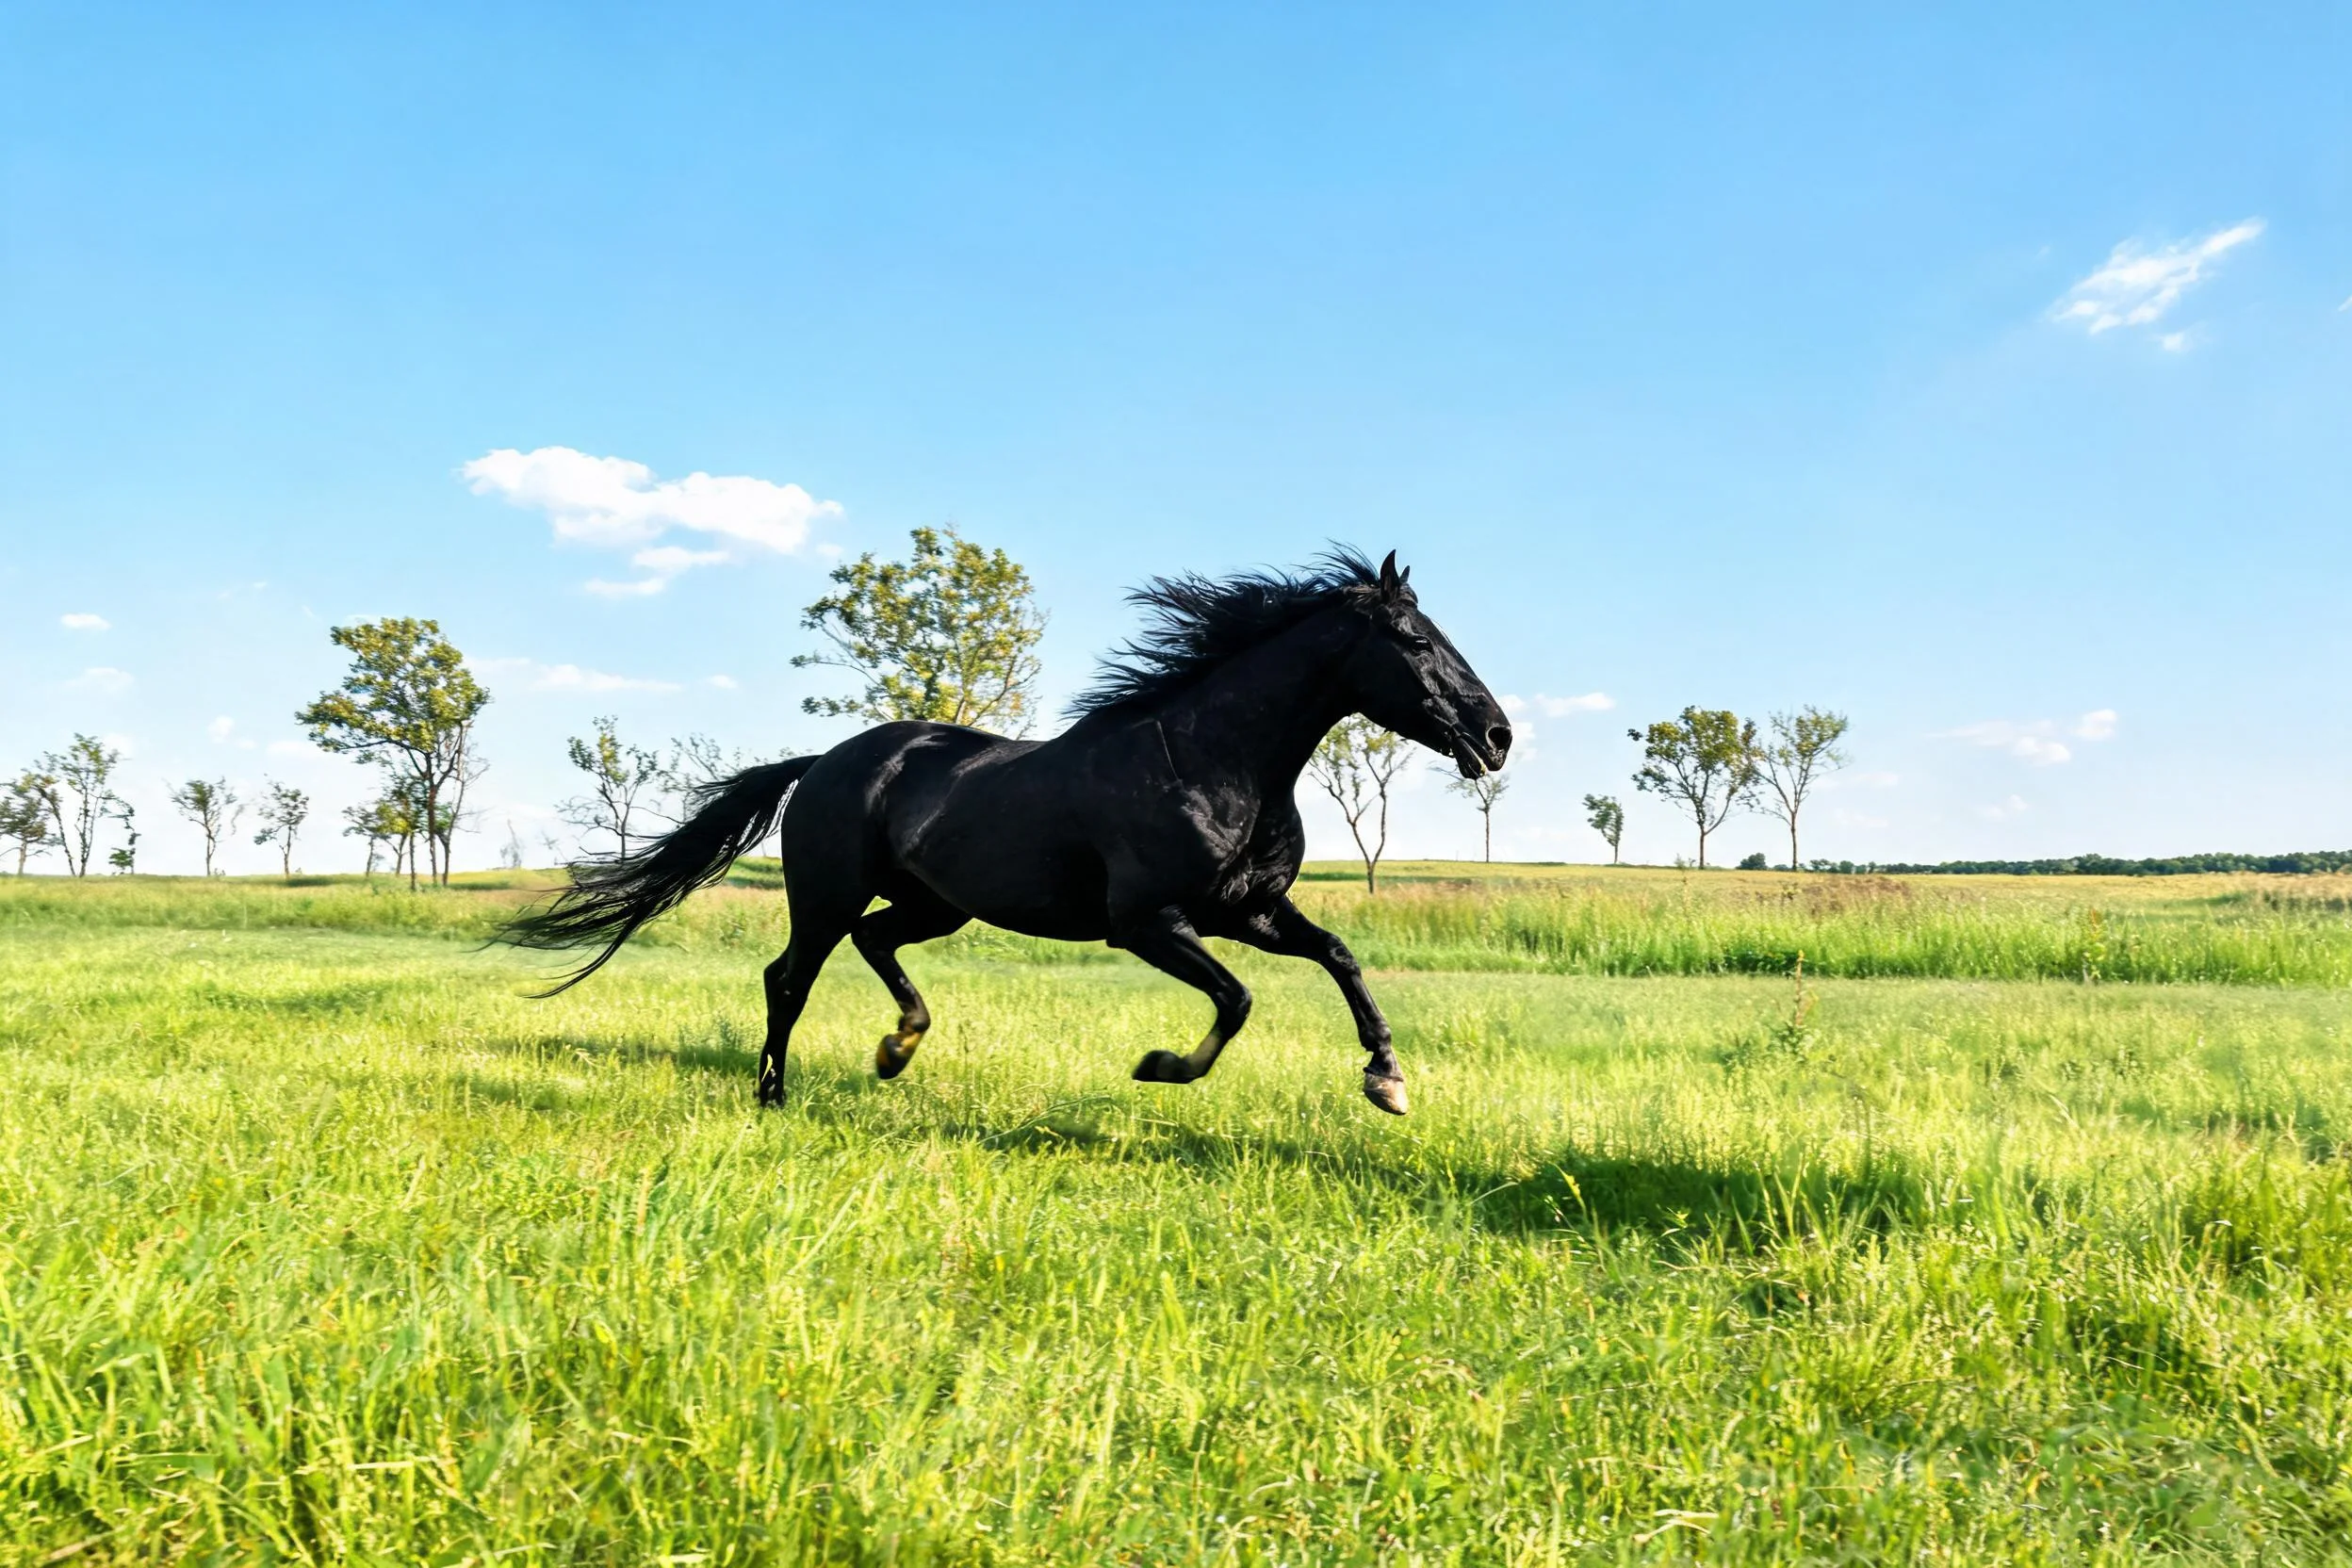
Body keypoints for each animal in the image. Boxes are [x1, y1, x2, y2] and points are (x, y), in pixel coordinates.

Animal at [499, 549, 1511, 1115]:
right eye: (1416, 641)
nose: (1497, 735)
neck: (1211, 761)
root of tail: (822, 764)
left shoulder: (1250, 911)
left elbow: (1339, 956)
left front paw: (1387, 1082)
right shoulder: (1148, 923)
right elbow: (1236, 1001)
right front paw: (1157, 1067)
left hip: (934, 906)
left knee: (875, 946)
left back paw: (897, 1049)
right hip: (824, 895)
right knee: (787, 978)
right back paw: (775, 1095)